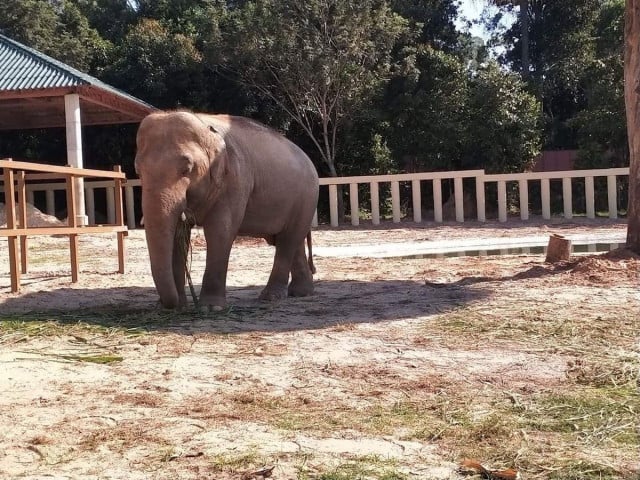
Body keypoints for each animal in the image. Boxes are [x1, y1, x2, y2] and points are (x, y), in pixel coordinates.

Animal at [134, 110, 318, 310]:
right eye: (138, 171)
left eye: (187, 169)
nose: (170, 304)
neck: (204, 123)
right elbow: (177, 234)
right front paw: (176, 306)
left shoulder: (235, 180)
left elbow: (220, 231)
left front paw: (211, 308)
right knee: (290, 241)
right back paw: (301, 293)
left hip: (306, 197)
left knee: (288, 240)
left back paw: (270, 297)